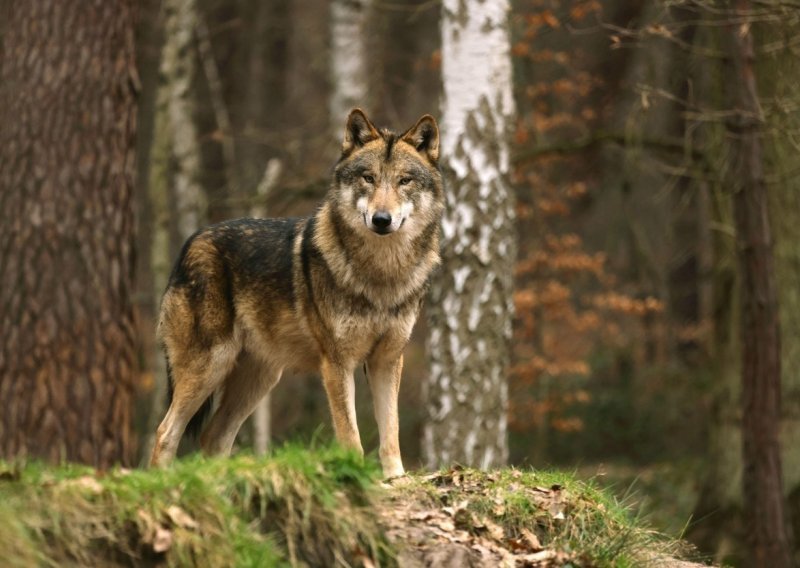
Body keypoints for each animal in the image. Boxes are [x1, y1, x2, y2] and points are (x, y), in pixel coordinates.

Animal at [147, 108, 440, 478]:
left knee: (213, 437)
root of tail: (190, 243)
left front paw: (395, 478)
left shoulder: (387, 360)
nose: (382, 219)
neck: (381, 275)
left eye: (405, 181)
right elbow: (351, 436)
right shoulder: (337, 363)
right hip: (209, 366)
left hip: (260, 379)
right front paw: (355, 476)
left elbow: (391, 433)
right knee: (165, 433)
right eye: (368, 178)